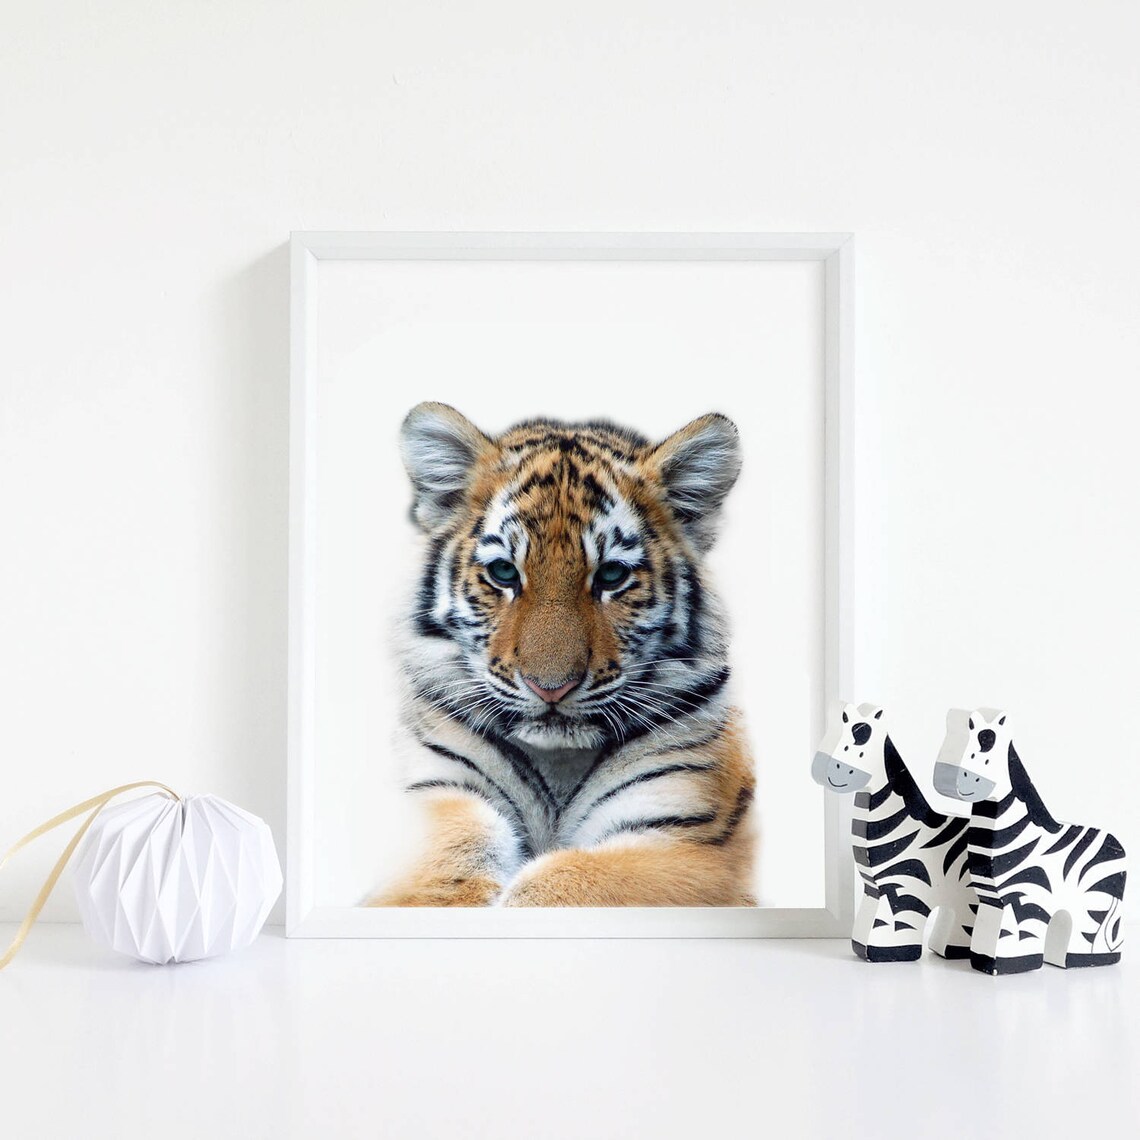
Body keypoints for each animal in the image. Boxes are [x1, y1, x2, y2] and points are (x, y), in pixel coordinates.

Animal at [366, 401, 756, 907]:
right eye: (503, 572)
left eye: (610, 575)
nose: (551, 688)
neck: (558, 764)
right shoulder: (438, 792)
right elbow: (447, 869)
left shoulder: (687, 839)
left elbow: (560, 883)